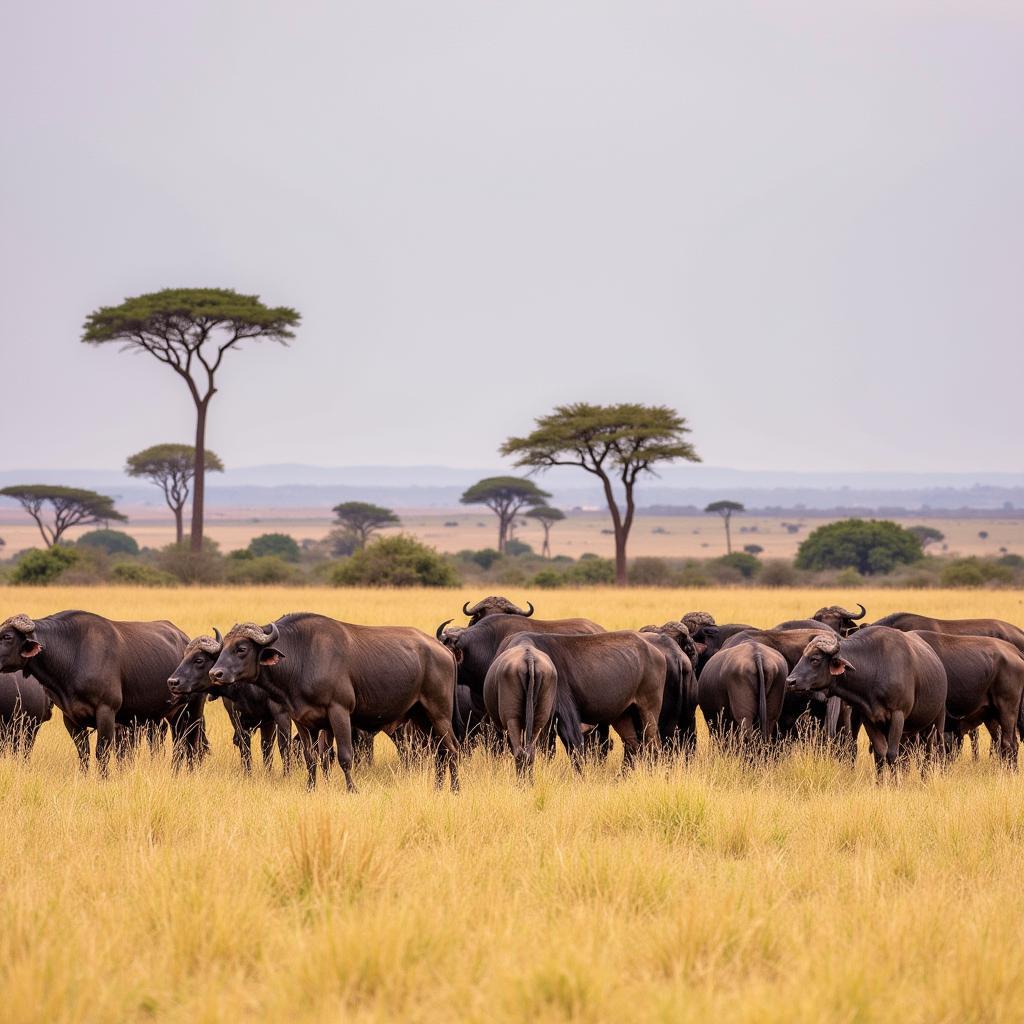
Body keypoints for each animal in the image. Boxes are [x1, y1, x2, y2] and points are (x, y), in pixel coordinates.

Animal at [0, 610, 205, 770]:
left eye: (8, 637)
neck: (73, 653)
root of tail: (184, 639)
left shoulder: (107, 712)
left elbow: (102, 753)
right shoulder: (71, 719)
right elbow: (84, 754)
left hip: (192, 712)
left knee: (191, 744)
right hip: (172, 715)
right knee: (179, 743)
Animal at [786, 622, 946, 774]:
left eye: (815, 659)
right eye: (802, 656)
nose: (790, 681)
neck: (876, 667)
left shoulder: (898, 715)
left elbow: (892, 755)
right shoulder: (869, 719)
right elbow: (880, 754)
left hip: (936, 724)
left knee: (931, 751)